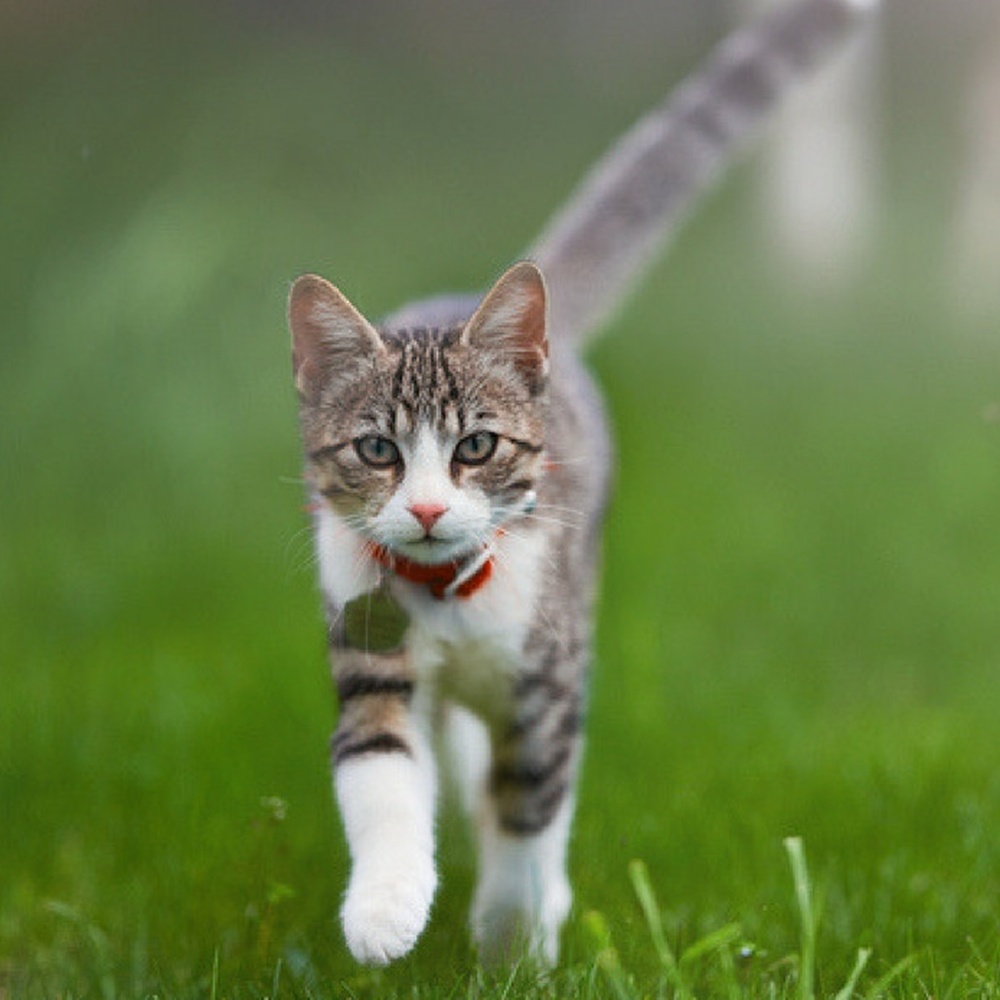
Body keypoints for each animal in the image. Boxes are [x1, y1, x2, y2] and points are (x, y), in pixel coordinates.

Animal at [284, 0, 876, 968]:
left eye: (476, 445)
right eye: (376, 451)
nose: (426, 507)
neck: (447, 596)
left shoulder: (550, 674)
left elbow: (532, 797)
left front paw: (514, 940)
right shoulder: (369, 644)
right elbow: (380, 772)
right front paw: (385, 910)